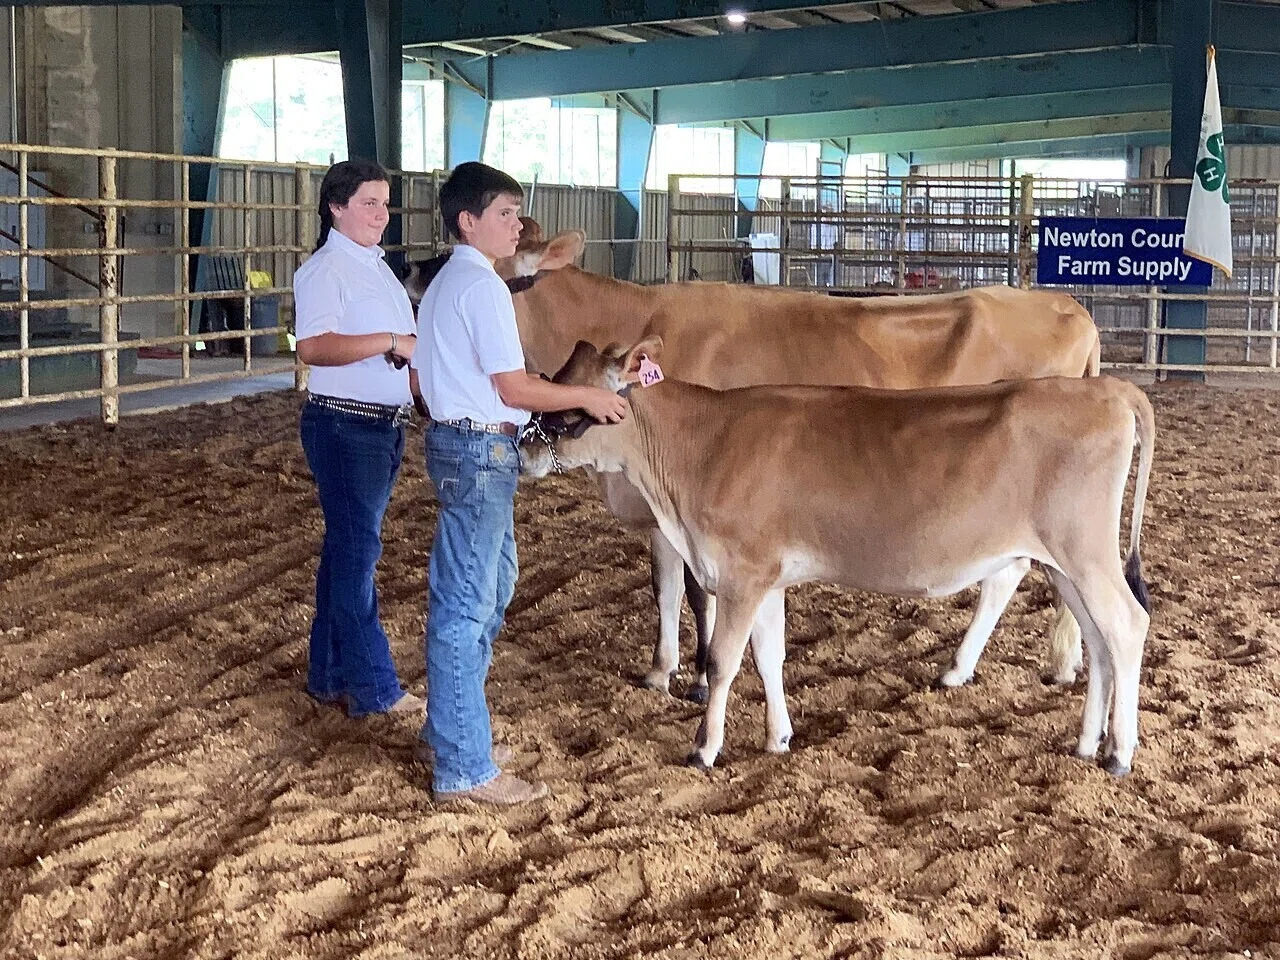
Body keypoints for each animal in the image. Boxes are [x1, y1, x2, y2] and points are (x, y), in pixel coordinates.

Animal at [403, 225, 1102, 698]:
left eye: (464, 255)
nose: (406, 262)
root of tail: (1068, 306)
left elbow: (689, 590)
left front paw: (685, 675)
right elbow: (668, 586)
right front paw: (666, 668)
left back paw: (1029, 664)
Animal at [518, 339, 1156, 776]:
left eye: (574, 410)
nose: (523, 450)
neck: (701, 447)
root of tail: (1107, 390)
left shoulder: (743, 573)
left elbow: (723, 662)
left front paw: (704, 747)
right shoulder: (768, 579)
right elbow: (770, 657)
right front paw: (778, 738)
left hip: (1086, 553)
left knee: (1127, 625)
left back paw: (1120, 752)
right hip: (1065, 564)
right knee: (1098, 641)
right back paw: (1087, 743)